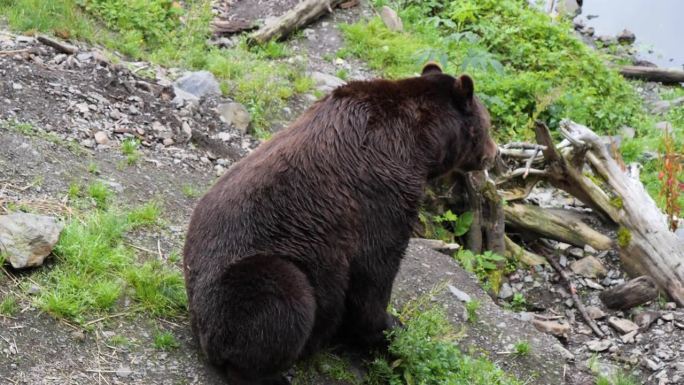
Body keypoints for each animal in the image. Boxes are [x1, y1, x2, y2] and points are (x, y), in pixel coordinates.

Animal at [183, 61, 496, 382]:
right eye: (489, 125)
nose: (494, 154)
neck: (422, 142)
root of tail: (202, 331)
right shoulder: (382, 190)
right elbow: (374, 268)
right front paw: (388, 330)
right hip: (245, 280)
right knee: (283, 297)